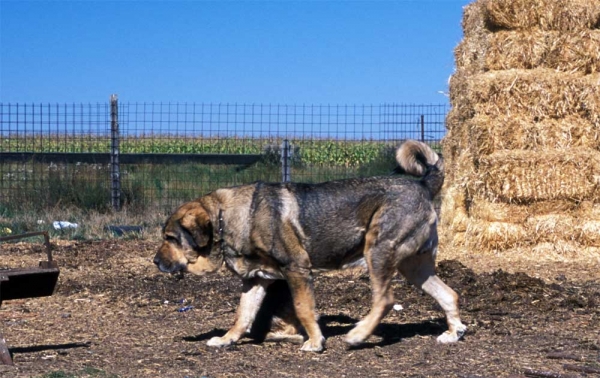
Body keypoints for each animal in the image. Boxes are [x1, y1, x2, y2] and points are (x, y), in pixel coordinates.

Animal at [152, 140, 466, 352]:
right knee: (449, 294)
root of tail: (423, 184)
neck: (226, 217)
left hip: (377, 253)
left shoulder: (298, 270)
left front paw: (315, 342)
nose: (155, 261)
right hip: (413, 267)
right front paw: (226, 340)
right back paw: (453, 333)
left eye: (170, 238)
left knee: (385, 300)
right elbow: (242, 315)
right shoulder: (255, 280)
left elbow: (304, 309)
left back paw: (358, 335)